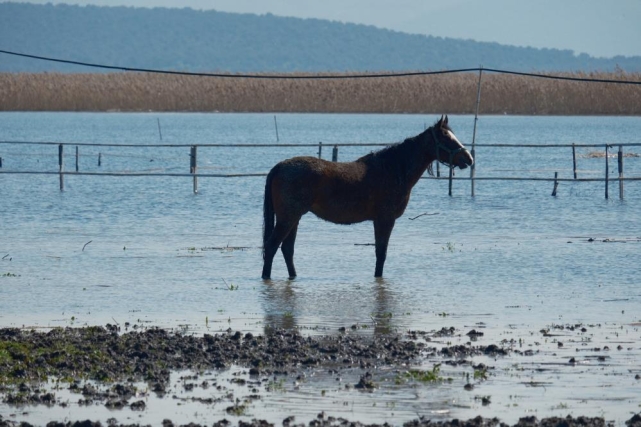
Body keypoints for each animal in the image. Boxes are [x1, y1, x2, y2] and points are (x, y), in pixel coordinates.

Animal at [261, 115, 474, 279]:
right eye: (446, 137)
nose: (469, 159)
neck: (393, 168)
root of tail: (280, 166)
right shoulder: (385, 220)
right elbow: (381, 253)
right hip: (288, 218)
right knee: (271, 247)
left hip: (294, 218)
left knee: (287, 249)